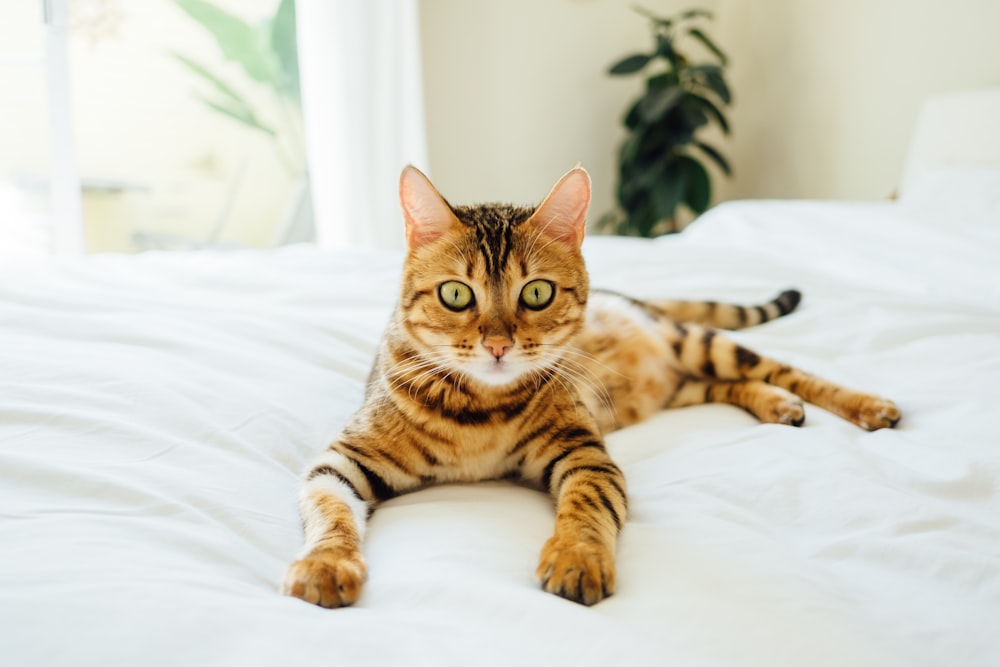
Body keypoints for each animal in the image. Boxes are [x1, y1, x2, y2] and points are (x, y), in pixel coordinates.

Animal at [280, 166, 900, 612]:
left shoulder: (584, 454)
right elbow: (330, 513)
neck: (480, 412)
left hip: (694, 342)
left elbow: (586, 507)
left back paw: (864, 404)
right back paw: (776, 405)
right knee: (730, 385)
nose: (499, 344)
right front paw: (326, 565)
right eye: (456, 295)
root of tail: (637, 297)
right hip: (674, 388)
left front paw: (577, 558)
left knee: (775, 368)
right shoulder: (342, 460)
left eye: (537, 293)